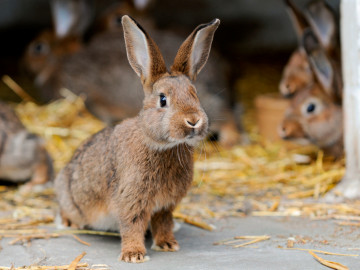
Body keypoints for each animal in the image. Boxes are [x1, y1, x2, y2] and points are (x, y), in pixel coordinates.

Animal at [53, 15, 217, 262]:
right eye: (162, 100)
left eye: (194, 95)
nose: (193, 121)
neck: (161, 145)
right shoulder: (131, 199)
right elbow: (132, 225)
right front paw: (133, 255)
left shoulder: (165, 206)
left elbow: (163, 223)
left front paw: (168, 244)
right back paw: (67, 222)